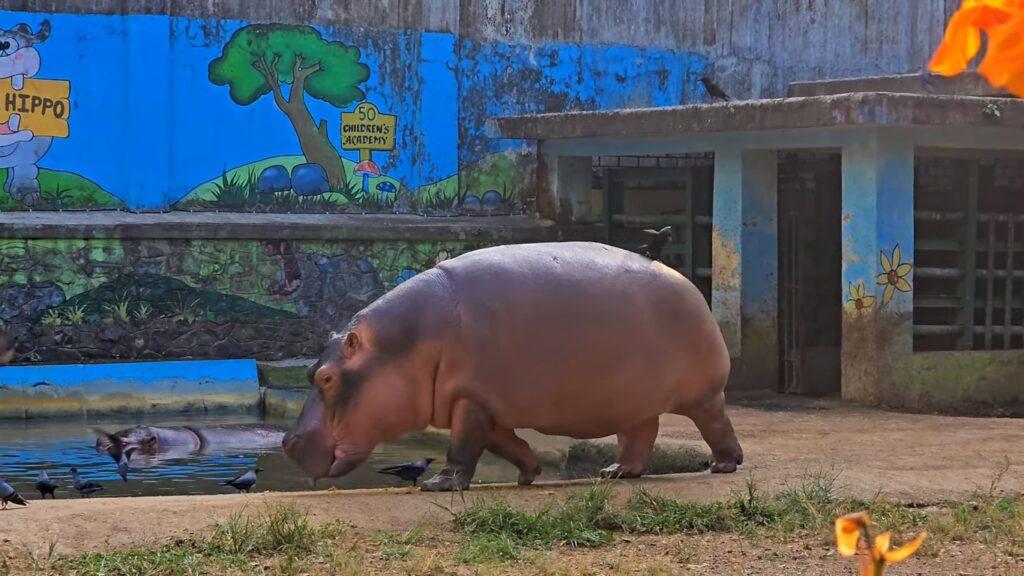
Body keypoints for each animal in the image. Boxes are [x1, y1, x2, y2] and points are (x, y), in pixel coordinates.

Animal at [282, 240, 745, 487]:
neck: (406, 343)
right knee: (640, 435)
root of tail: (691, 284)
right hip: (634, 401)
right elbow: (506, 444)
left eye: (327, 378)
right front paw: (528, 475)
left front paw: (439, 485)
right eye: (309, 372)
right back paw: (614, 473)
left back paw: (723, 465)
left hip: (702, 394)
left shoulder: (469, 399)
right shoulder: (484, 404)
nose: (287, 442)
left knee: (716, 425)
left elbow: (463, 447)